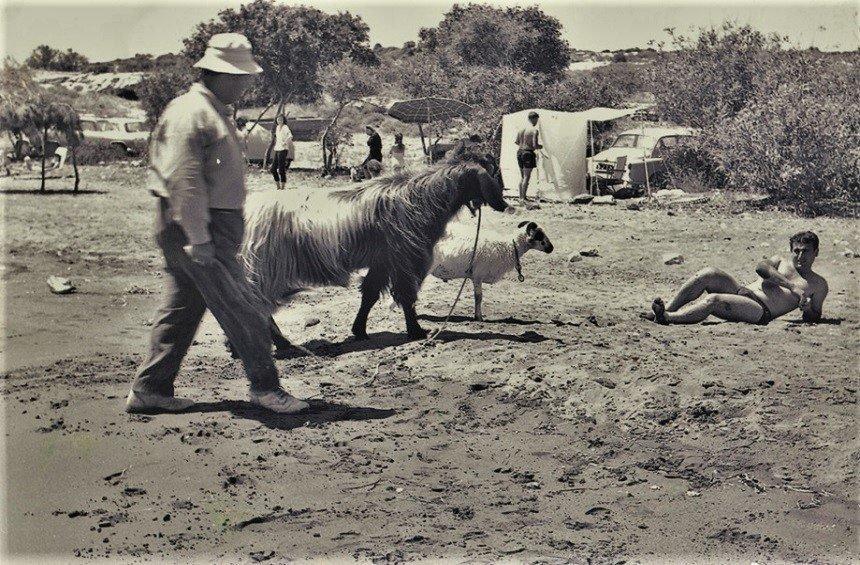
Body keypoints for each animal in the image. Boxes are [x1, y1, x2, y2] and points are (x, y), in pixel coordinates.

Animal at [240, 149, 510, 344]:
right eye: (490, 173)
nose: (504, 204)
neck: (421, 198)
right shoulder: (404, 258)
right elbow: (406, 294)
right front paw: (416, 331)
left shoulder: (383, 260)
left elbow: (369, 294)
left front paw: (359, 330)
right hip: (264, 269)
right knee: (255, 305)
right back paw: (280, 342)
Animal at [426, 218, 556, 320]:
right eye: (539, 235)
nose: (551, 248)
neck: (510, 247)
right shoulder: (478, 275)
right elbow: (478, 297)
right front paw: (479, 317)